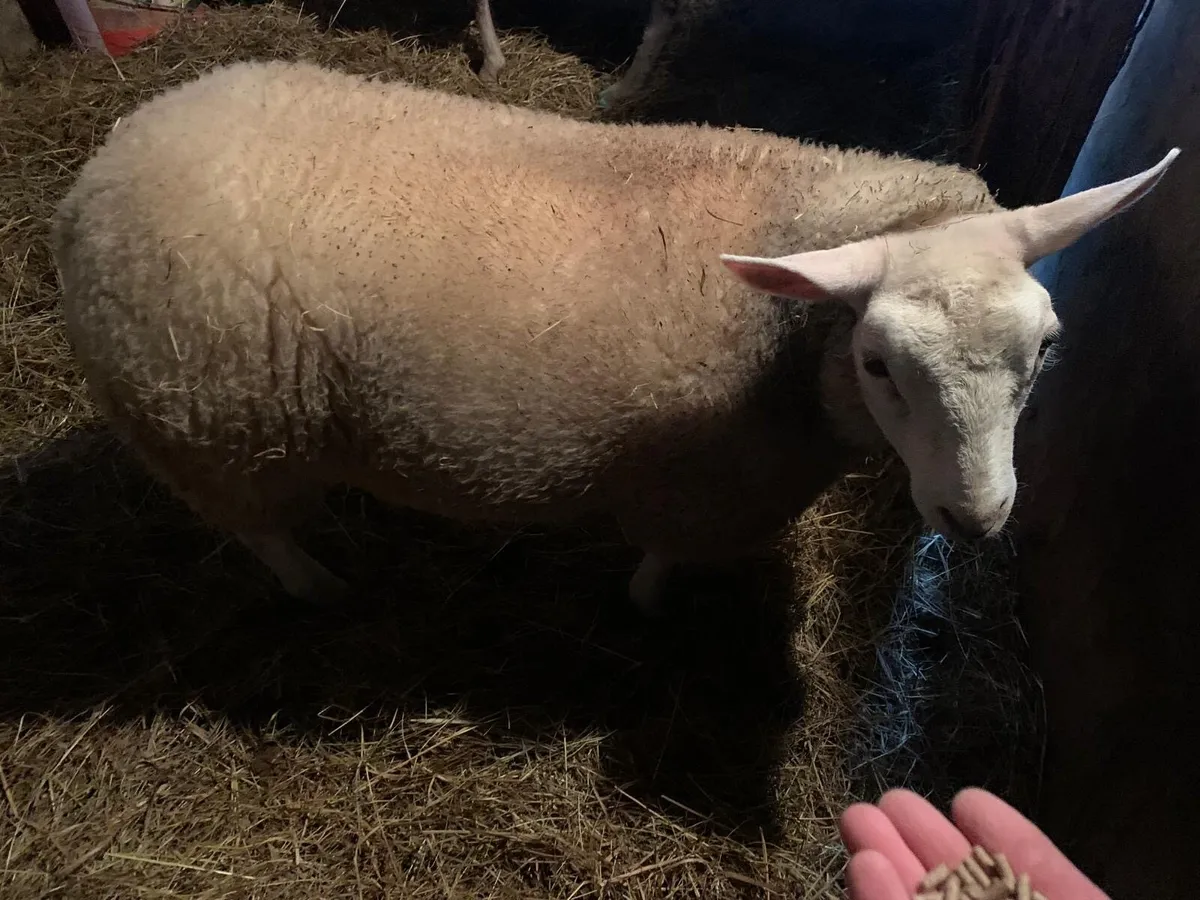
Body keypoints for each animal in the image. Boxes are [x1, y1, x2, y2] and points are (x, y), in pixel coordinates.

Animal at [50, 59, 1178, 614]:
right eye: (876, 364)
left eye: (1046, 350)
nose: (976, 519)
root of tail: (120, 144)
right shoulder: (699, 480)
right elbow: (660, 563)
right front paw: (642, 604)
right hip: (213, 423)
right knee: (258, 529)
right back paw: (321, 586)